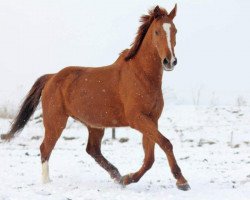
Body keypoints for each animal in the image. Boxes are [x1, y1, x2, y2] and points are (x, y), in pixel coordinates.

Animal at [0, 5, 190, 191]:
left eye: (175, 30)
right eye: (157, 31)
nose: (169, 61)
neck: (141, 75)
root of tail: (52, 77)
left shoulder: (152, 119)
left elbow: (150, 158)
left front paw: (127, 179)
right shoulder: (137, 118)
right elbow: (165, 143)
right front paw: (182, 181)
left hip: (95, 125)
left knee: (92, 150)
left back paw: (117, 175)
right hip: (56, 120)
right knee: (45, 147)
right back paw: (47, 183)